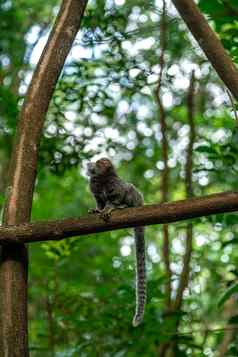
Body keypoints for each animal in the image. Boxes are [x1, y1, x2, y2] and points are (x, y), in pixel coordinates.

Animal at [87, 158, 145, 326]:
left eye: (100, 163)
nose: (93, 164)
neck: (102, 179)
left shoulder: (116, 186)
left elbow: (117, 196)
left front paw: (111, 208)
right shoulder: (95, 189)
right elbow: (100, 202)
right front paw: (97, 210)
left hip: (136, 197)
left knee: (130, 188)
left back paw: (123, 206)